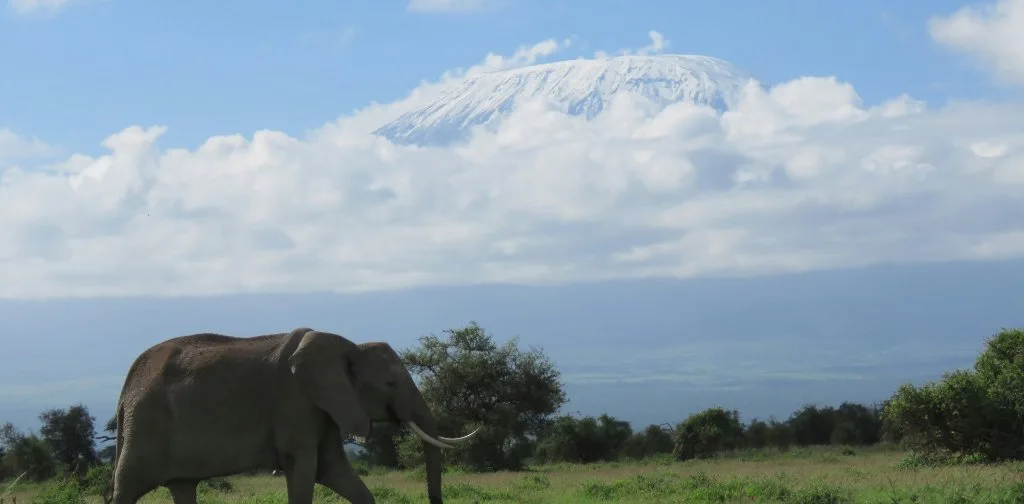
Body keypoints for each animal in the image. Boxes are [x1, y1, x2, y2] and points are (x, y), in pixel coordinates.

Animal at [104, 327, 479, 504]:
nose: (434, 501)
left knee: (182, 487)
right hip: (146, 423)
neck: (347, 348)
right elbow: (304, 468)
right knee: (128, 487)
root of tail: (124, 391)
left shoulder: (325, 410)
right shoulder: (295, 403)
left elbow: (336, 472)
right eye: (390, 383)